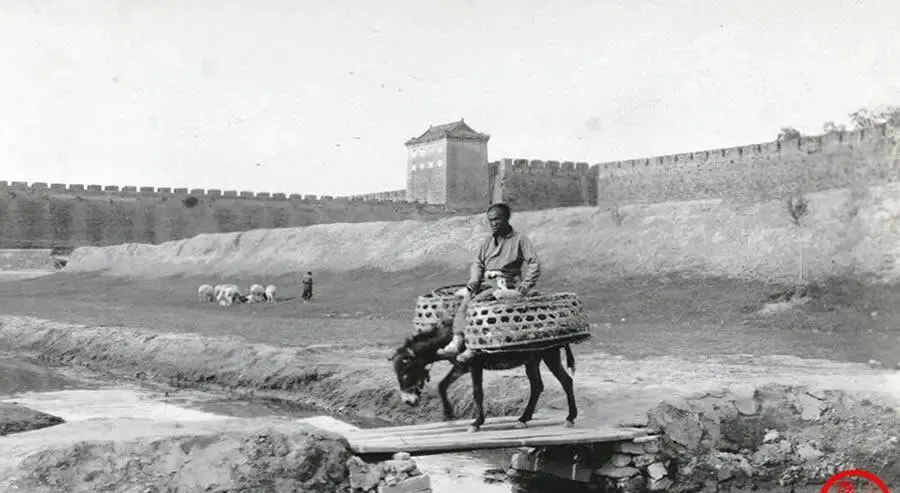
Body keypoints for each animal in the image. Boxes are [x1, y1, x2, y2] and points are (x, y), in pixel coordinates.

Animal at [388, 317, 578, 432]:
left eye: (406, 372)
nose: (408, 402)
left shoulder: (474, 365)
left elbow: (477, 393)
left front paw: (476, 423)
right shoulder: (462, 366)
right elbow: (442, 385)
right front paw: (449, 415)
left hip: (549, 355)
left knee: (566, 381)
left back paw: (570, 418)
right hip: (532, 361)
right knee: (537, 386)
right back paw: (523, 419)